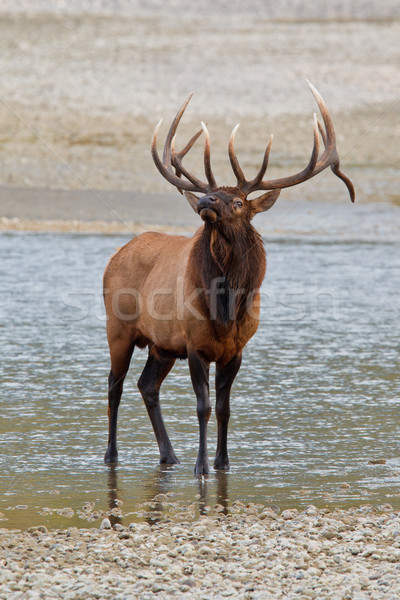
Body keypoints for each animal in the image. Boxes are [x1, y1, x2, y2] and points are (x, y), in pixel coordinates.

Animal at [102, 81, 354, 474]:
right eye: (213, 193)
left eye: (237, 202)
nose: (205, 200)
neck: (227, 308)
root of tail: (115, 256)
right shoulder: (194, 345)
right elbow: (203, 407)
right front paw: (202, 467)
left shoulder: (236, 350)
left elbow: (224, 409)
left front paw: (223, 463)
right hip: (119, 327)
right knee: (115, 385)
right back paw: (112, 456)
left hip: (161, 344)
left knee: (147, 386)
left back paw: (169, 455)